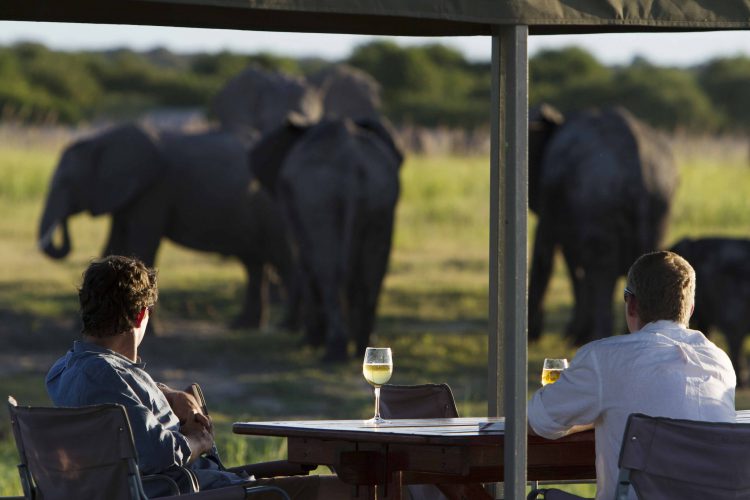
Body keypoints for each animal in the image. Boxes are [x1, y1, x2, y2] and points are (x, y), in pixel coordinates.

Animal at [38, 123, 292, 330]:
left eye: (66, 183)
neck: (101, 139)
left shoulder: (154, 192)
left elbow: (143, 245)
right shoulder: (127, 195)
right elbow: (114, 247)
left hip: (276, 212)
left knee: (283, 261)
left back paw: (285, 328)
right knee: (253, 264)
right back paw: (243, 326)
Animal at [251, 117, 406, 360]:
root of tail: (352, 161)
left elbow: (303, 261)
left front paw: (310, 342)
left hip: (318, 197)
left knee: (329, 270)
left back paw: (334, 352)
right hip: (382, 197)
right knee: (374, 268)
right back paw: (364, 346)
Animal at [528, 104, 680, 348]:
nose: (534, 334)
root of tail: (638, 165)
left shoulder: (551, 190)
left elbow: (548, 252)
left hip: (598, 196)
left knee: (600, 270)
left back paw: (599, 338)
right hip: (660, 202)